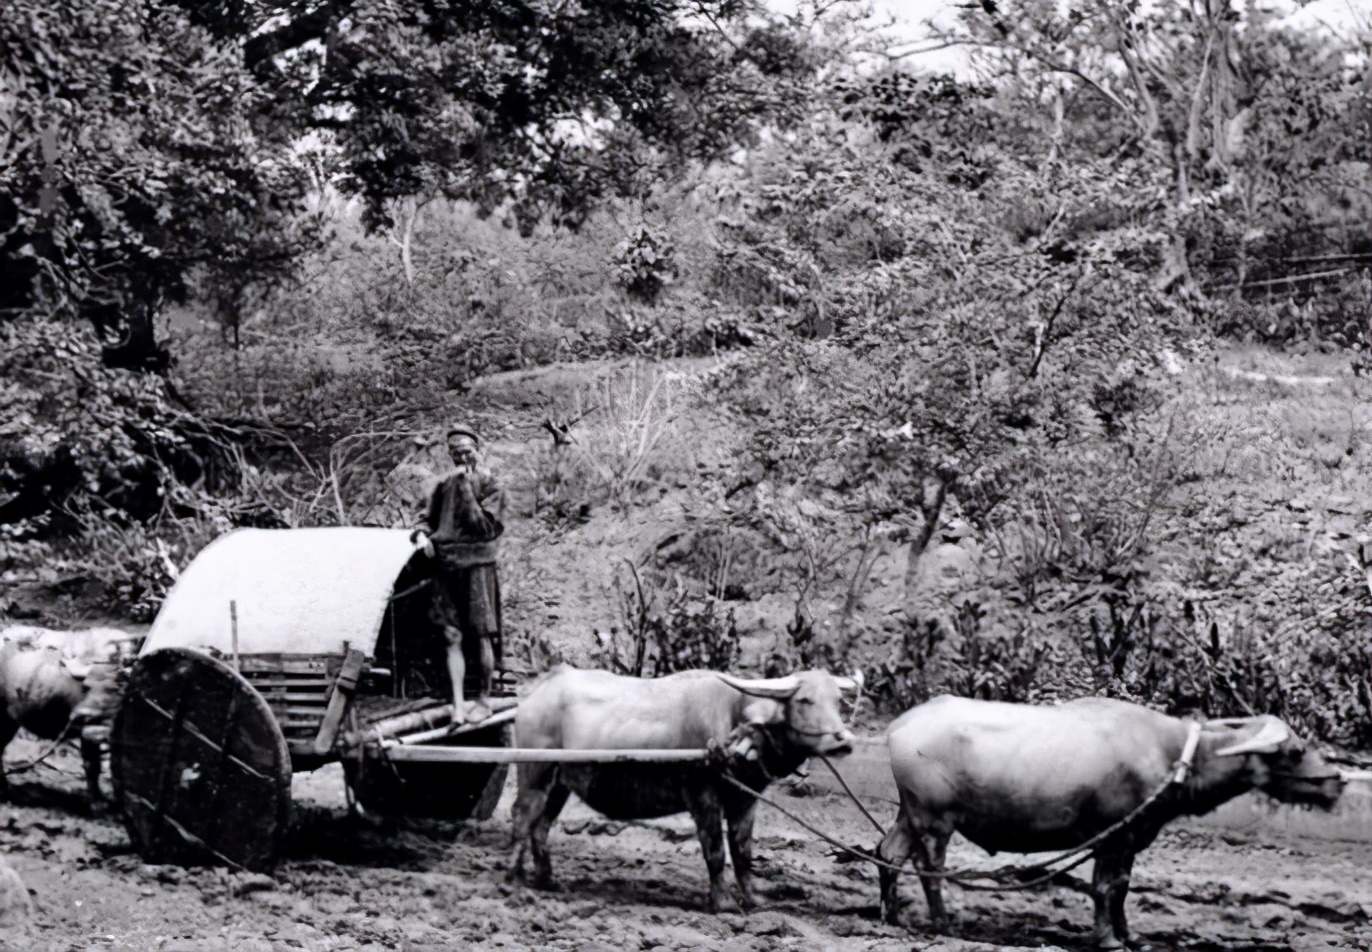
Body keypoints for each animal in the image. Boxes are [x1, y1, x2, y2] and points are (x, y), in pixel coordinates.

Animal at [510, 666, 861, 916]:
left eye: (837, 701)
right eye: (804, 700)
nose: (843, 741)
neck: (733, 723)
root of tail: (537, 691)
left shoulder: (745, 801)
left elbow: (743, 853)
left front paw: (752, 899)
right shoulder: (702, 799)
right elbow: (716, 852)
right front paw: (722, 903)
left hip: (559, 783)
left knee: (540, 826)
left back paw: (546, 879)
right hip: (533, 772)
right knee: (521, 815)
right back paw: (513, 877)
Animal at [878, 696, 1339, 949]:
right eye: (1295, 751)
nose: (1336, 781)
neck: (1172, 755)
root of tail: (900, 726)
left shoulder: (1132, 837)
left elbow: (1121, 888)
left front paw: (1130, 935)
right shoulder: (1111, 836)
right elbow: (1104, 887)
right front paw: (1108, 939)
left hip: (909, 813)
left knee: (888, 853)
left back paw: (891, 916)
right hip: (934, 818)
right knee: (930, 866)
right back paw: (942, 923)